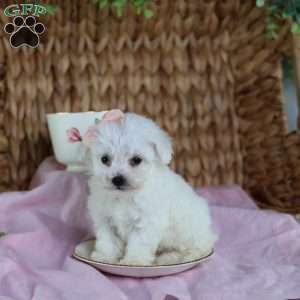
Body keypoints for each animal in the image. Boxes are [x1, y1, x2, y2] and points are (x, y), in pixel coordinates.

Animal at [86, 110, 216, 264]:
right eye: (104, 159)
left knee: (195, 249)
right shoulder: (105, 219)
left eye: (136, 160)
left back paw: (171, 258)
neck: (125, 196)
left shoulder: (147, 222)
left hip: (192, 233)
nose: (117, 179)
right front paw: (105, 257)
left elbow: (139, 243)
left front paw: (134, 261)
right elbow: (108, 241)